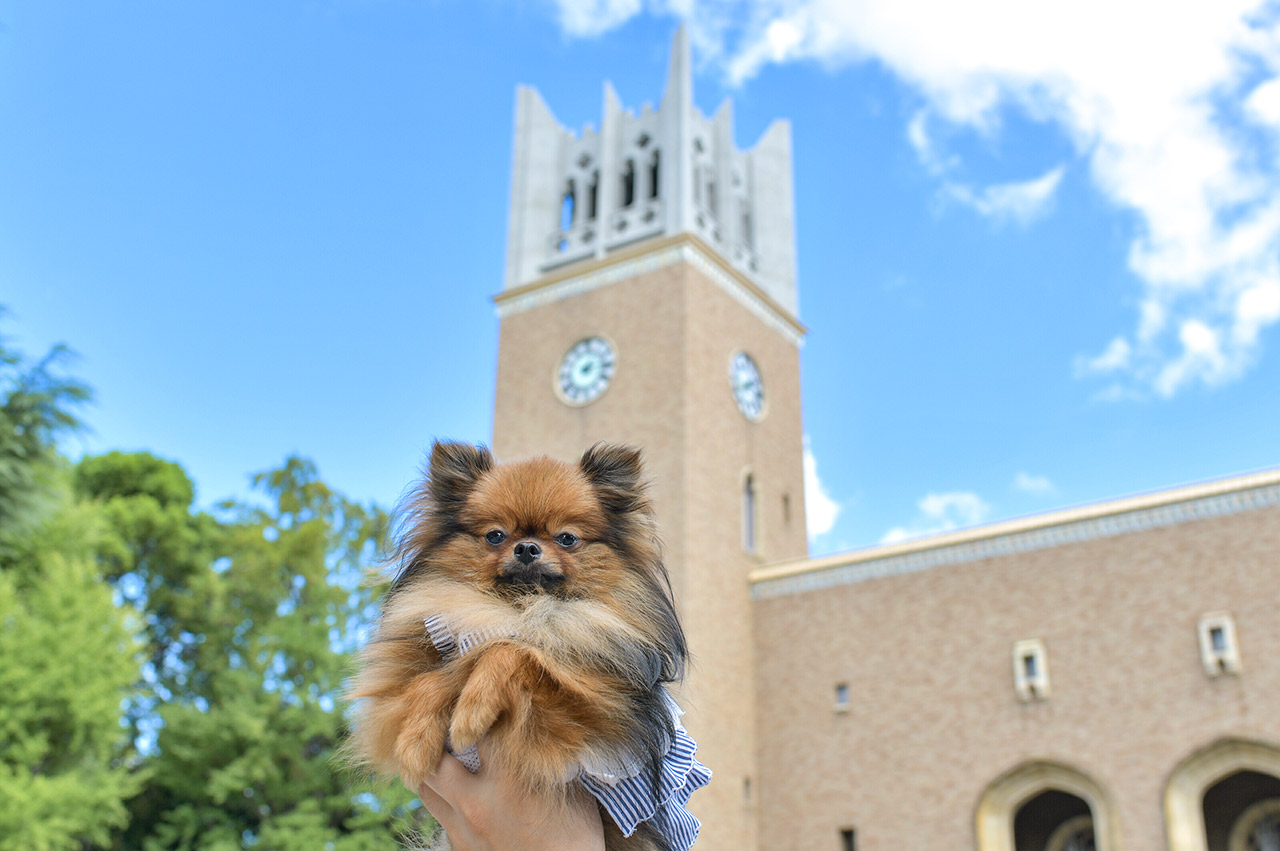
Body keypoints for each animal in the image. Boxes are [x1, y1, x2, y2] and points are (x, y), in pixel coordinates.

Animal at [348, 440, 711, 844]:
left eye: (567, 538)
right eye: (495, 535)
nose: (526, 547)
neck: (519, 610)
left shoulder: (596, 717)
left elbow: (512, 652)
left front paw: (472, 709)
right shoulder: (395, 690)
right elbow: (431, 679)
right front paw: (415, 741)